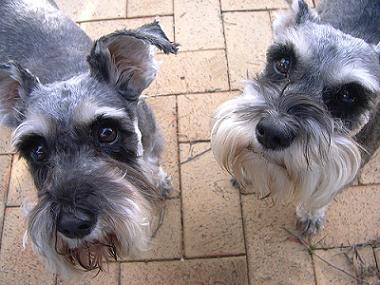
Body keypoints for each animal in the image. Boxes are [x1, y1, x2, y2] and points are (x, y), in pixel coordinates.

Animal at [0, 0, 177, 274]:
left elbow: (151, 161)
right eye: (37, 150)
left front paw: (158, 182)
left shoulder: (150, 138)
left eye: (107, 133)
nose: (72, 224)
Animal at [211, 0, 380, 233]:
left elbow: (323, 194)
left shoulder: (352, 166)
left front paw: (311, 215)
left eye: (348, 95)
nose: (272, 133)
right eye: (283, 63)